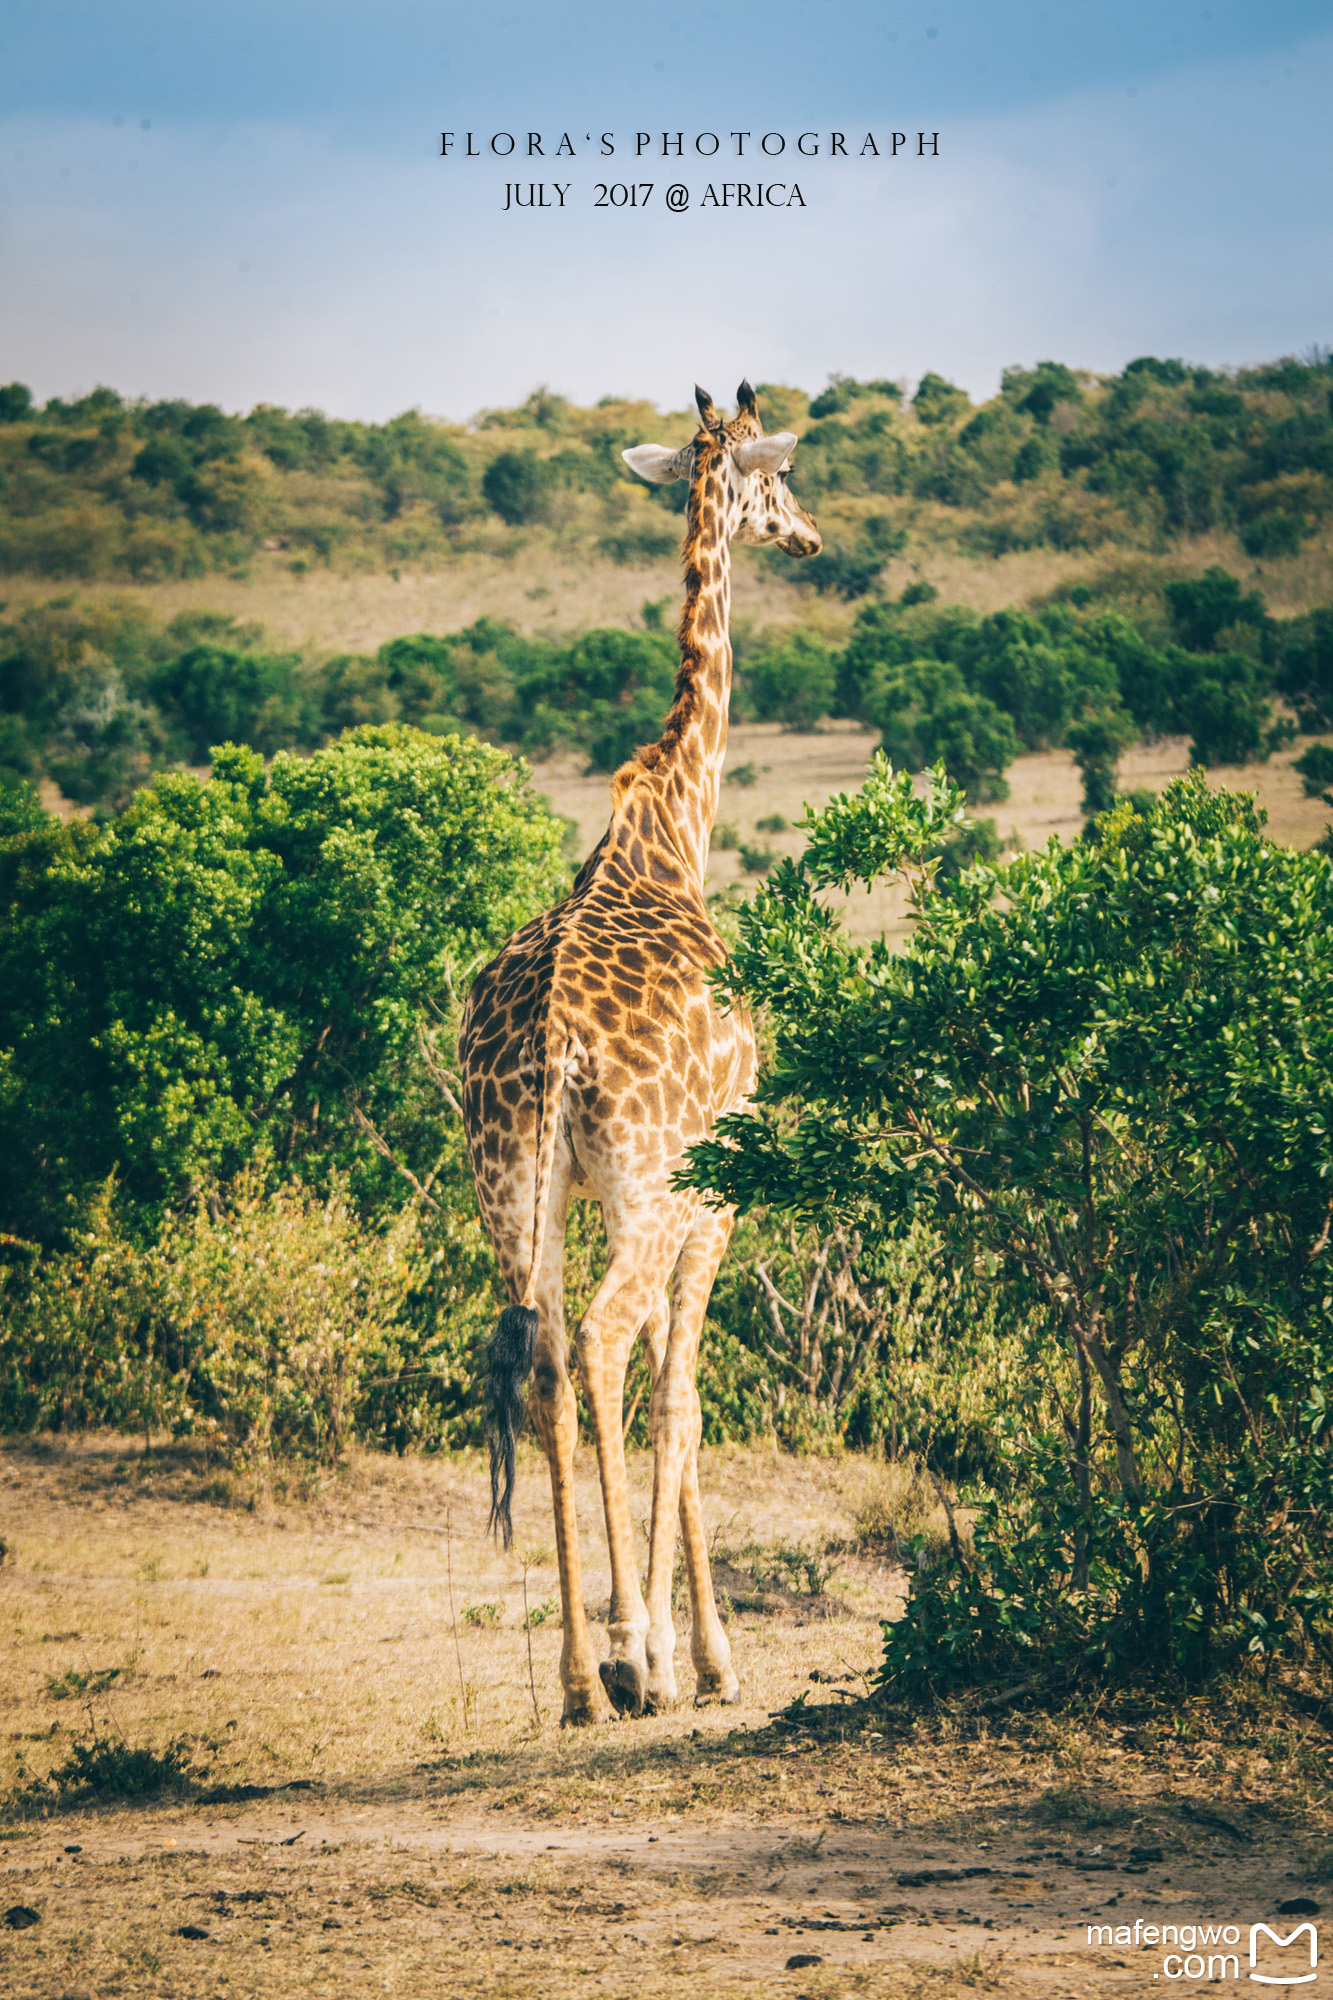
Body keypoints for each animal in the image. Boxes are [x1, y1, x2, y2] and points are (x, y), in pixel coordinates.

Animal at [460, 382, 820, 1728]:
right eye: (777, 480)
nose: (809, 537)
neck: (675, 826)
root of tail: (554, 1045)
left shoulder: (652, 1198)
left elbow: (664, 1388)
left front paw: (679, 1641)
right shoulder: (714, 1193)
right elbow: (683, 1395)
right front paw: (696, 1649)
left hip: (512, 1188)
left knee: (549, 1361)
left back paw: (575, 1676)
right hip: (639, 1183)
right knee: (608, 1346)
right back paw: (628, 1657)